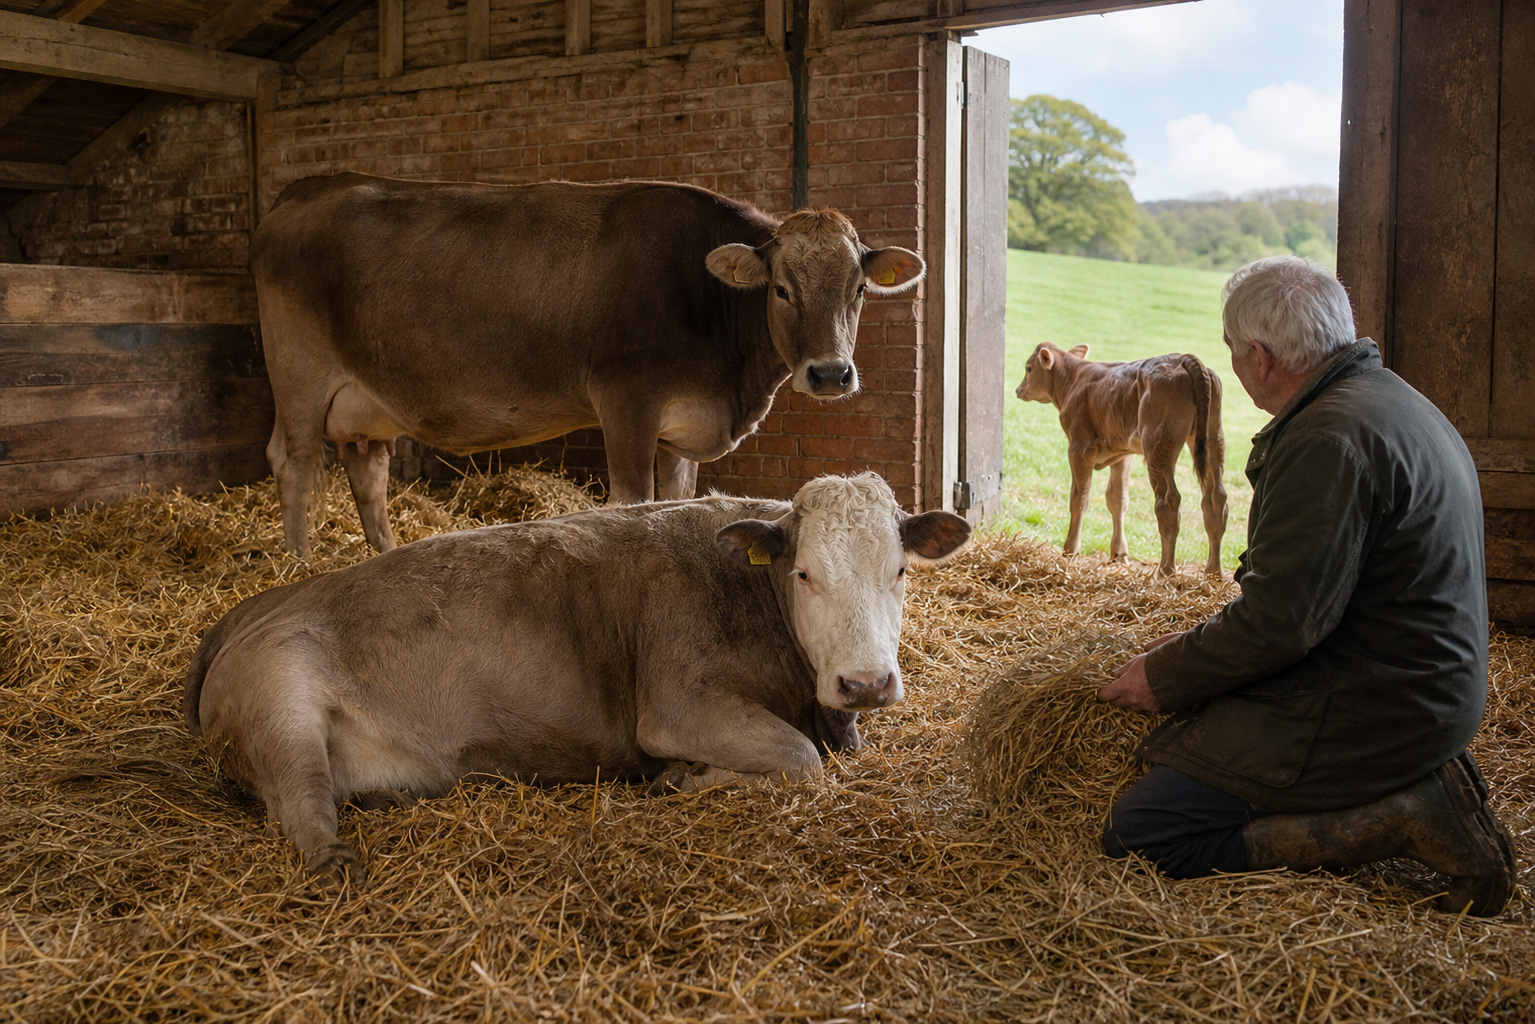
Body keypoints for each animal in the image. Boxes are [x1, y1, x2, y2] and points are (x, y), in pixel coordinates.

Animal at [183, 473, 970, 886]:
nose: (866, 683)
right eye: (803, 573)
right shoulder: (679, 705)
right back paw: (335, 858)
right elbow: (801, 759)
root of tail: (252, 609)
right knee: (302, 806)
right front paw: (686, 778)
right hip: (281, 703)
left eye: (901, 571)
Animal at [251, 173, 926, 556]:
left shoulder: (681, 425)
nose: (831, 374)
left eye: (859, 290)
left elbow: (675, 499)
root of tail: (307, 189)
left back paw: (381, 556)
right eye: (781, 289)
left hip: (366, 401)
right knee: (297, 464)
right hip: (300, 374)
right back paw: (298, 563)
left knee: (368, 470)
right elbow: (633, 503)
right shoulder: (627, 401)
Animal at [1015, 342, 1227, 576]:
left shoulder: (1079, 448)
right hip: (1213, 437)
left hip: (1158, 444)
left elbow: (1079, 499)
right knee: (1215, 498)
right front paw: (1118, 554)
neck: (1074, 380)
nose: (1018, 390)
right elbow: (1117, 500)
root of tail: (1182, 359)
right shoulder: (1121, 454)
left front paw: (1070, 550)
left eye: (1028, 368)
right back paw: (1213, 572)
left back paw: (1166, 570)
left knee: (1168, 501)